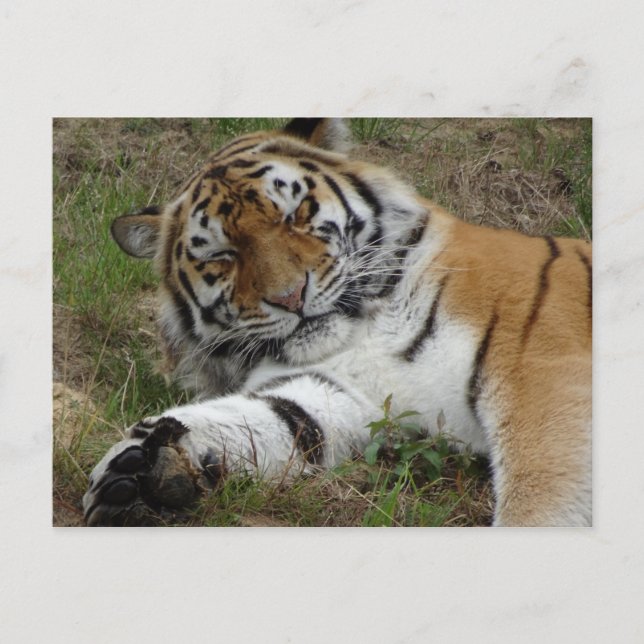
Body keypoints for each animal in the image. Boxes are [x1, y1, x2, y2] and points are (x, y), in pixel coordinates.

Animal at [82, 118, 592, 527]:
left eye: (295, 215)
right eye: (222, 255)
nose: (290, 296)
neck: (367, 327)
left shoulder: (544, 370)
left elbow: (541, 489)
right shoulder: (345, 390)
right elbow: (277, 417)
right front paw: (141, 469)